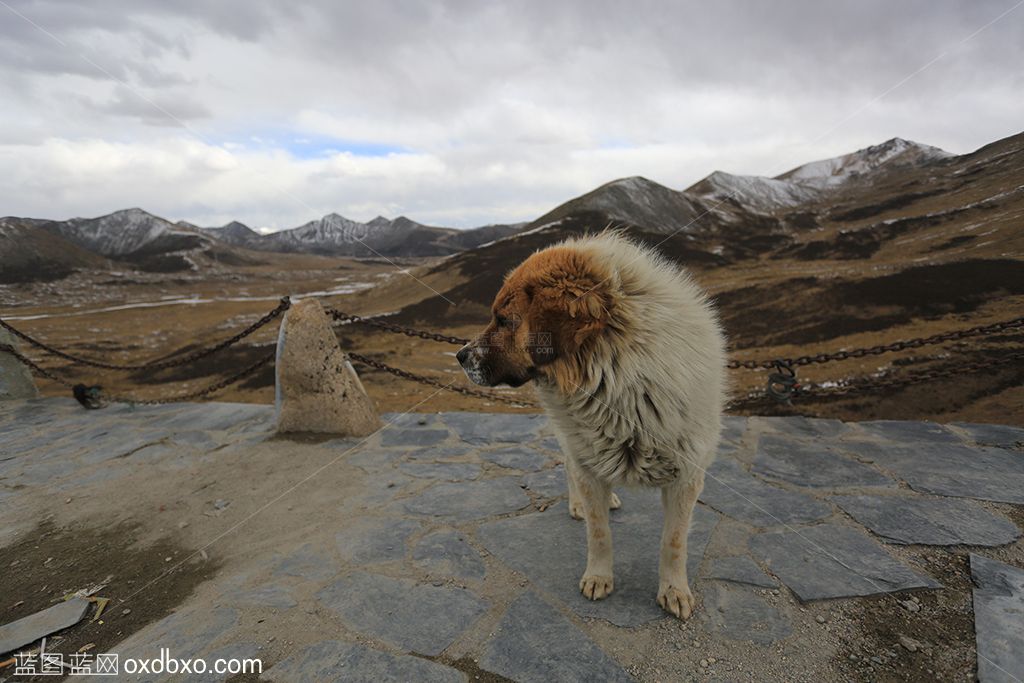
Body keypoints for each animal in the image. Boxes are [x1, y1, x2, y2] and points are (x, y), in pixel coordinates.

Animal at [456, 231, 729, 618]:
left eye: (505, 321)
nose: (459, 356)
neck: (621, 382)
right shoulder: (589, 464)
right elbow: (599, 533)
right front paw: (599, 576)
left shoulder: (687, 477)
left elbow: (673, 541)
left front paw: (674, 589)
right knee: (570, 468)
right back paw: (577, 506)